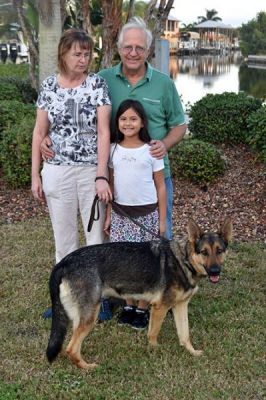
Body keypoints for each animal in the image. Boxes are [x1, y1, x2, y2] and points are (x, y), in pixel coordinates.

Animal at [46, 217, 233, 370]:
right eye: (204, 252)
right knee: (71, 348)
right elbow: (153, 334)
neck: (184, 260)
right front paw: (156, 351)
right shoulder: (160, 308)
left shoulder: (180, 306)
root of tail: (64, 262)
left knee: (69, 345)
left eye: (219, 251)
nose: (215, 271)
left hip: (81, 316)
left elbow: (184, 334)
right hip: (90, 316)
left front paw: (192, 352)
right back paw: (87, 367)